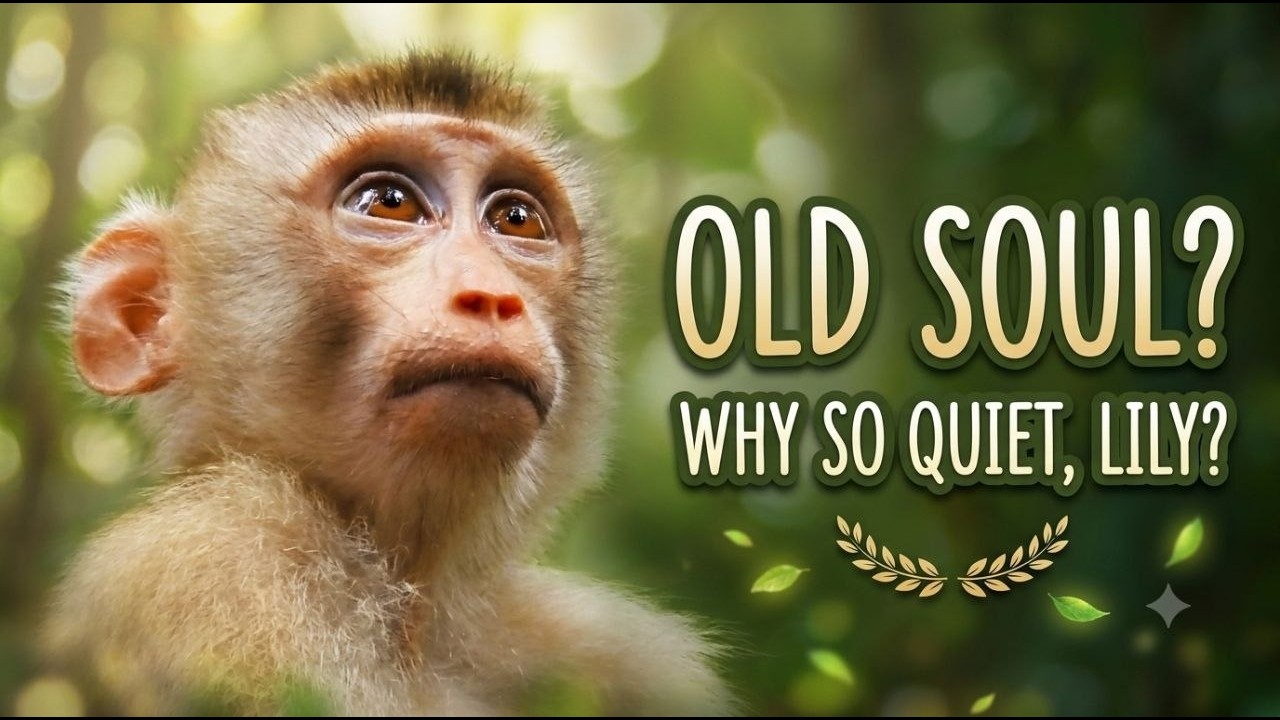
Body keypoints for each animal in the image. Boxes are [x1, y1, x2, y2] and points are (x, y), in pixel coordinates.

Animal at [44, 50, 734, 716]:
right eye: (389, 203)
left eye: (517, 218)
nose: (491, 296)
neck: (411, 609)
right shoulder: (218, 561)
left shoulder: (614, 650)